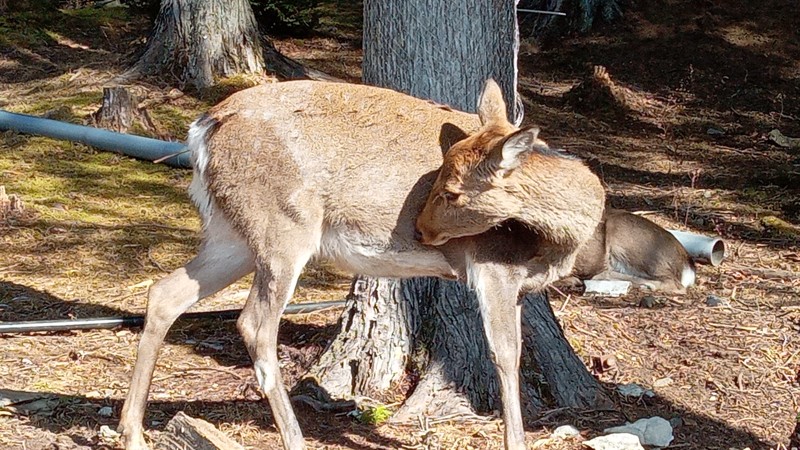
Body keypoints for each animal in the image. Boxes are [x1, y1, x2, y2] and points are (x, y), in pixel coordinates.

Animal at [117, 78, 608, 450]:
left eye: (450, 192)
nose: (420, 231)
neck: (560, 240)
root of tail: (202, 127)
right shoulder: (493, 265)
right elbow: (507, 355)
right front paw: (516, 440)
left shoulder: (522, 285)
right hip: (283, 225)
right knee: (253, 323)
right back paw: (295, 439)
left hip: (232, 234)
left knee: (165, 293)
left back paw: (133, 433)